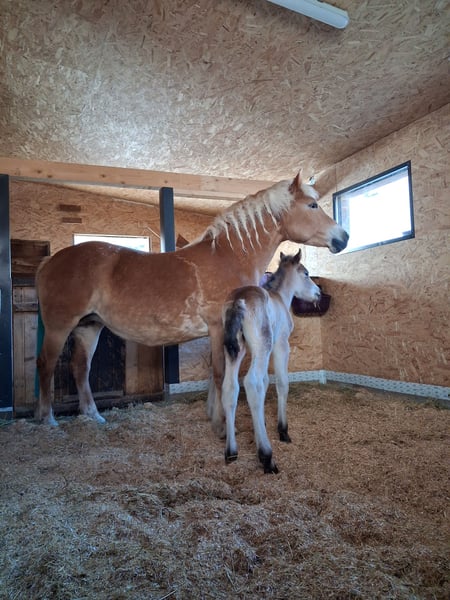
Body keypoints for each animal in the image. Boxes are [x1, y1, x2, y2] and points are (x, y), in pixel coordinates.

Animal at [35, 172, 348, 429]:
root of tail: (50, 262)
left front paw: (214, 415)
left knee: (80, 368)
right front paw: (223, 423)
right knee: (45, 365)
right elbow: (221, 376)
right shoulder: (220, 328)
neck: (229, 256)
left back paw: (93, 415)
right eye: (312, 205)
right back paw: (48, 419)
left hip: (89, 326)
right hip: (60, 327)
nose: (343, 237)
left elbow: (215, 375)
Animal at [221, 249, 320, 473]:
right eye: (306, 274)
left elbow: (266, 382)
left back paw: (231, 451)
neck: (281, 298)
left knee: (230, 387)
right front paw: (282, 430)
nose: (318, 293)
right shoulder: (281, 344)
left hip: (236, 351)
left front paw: (262, 425)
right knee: (251, 383)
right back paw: (266, 456)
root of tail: (238, 300)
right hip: (263, 346)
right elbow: (281, 382)